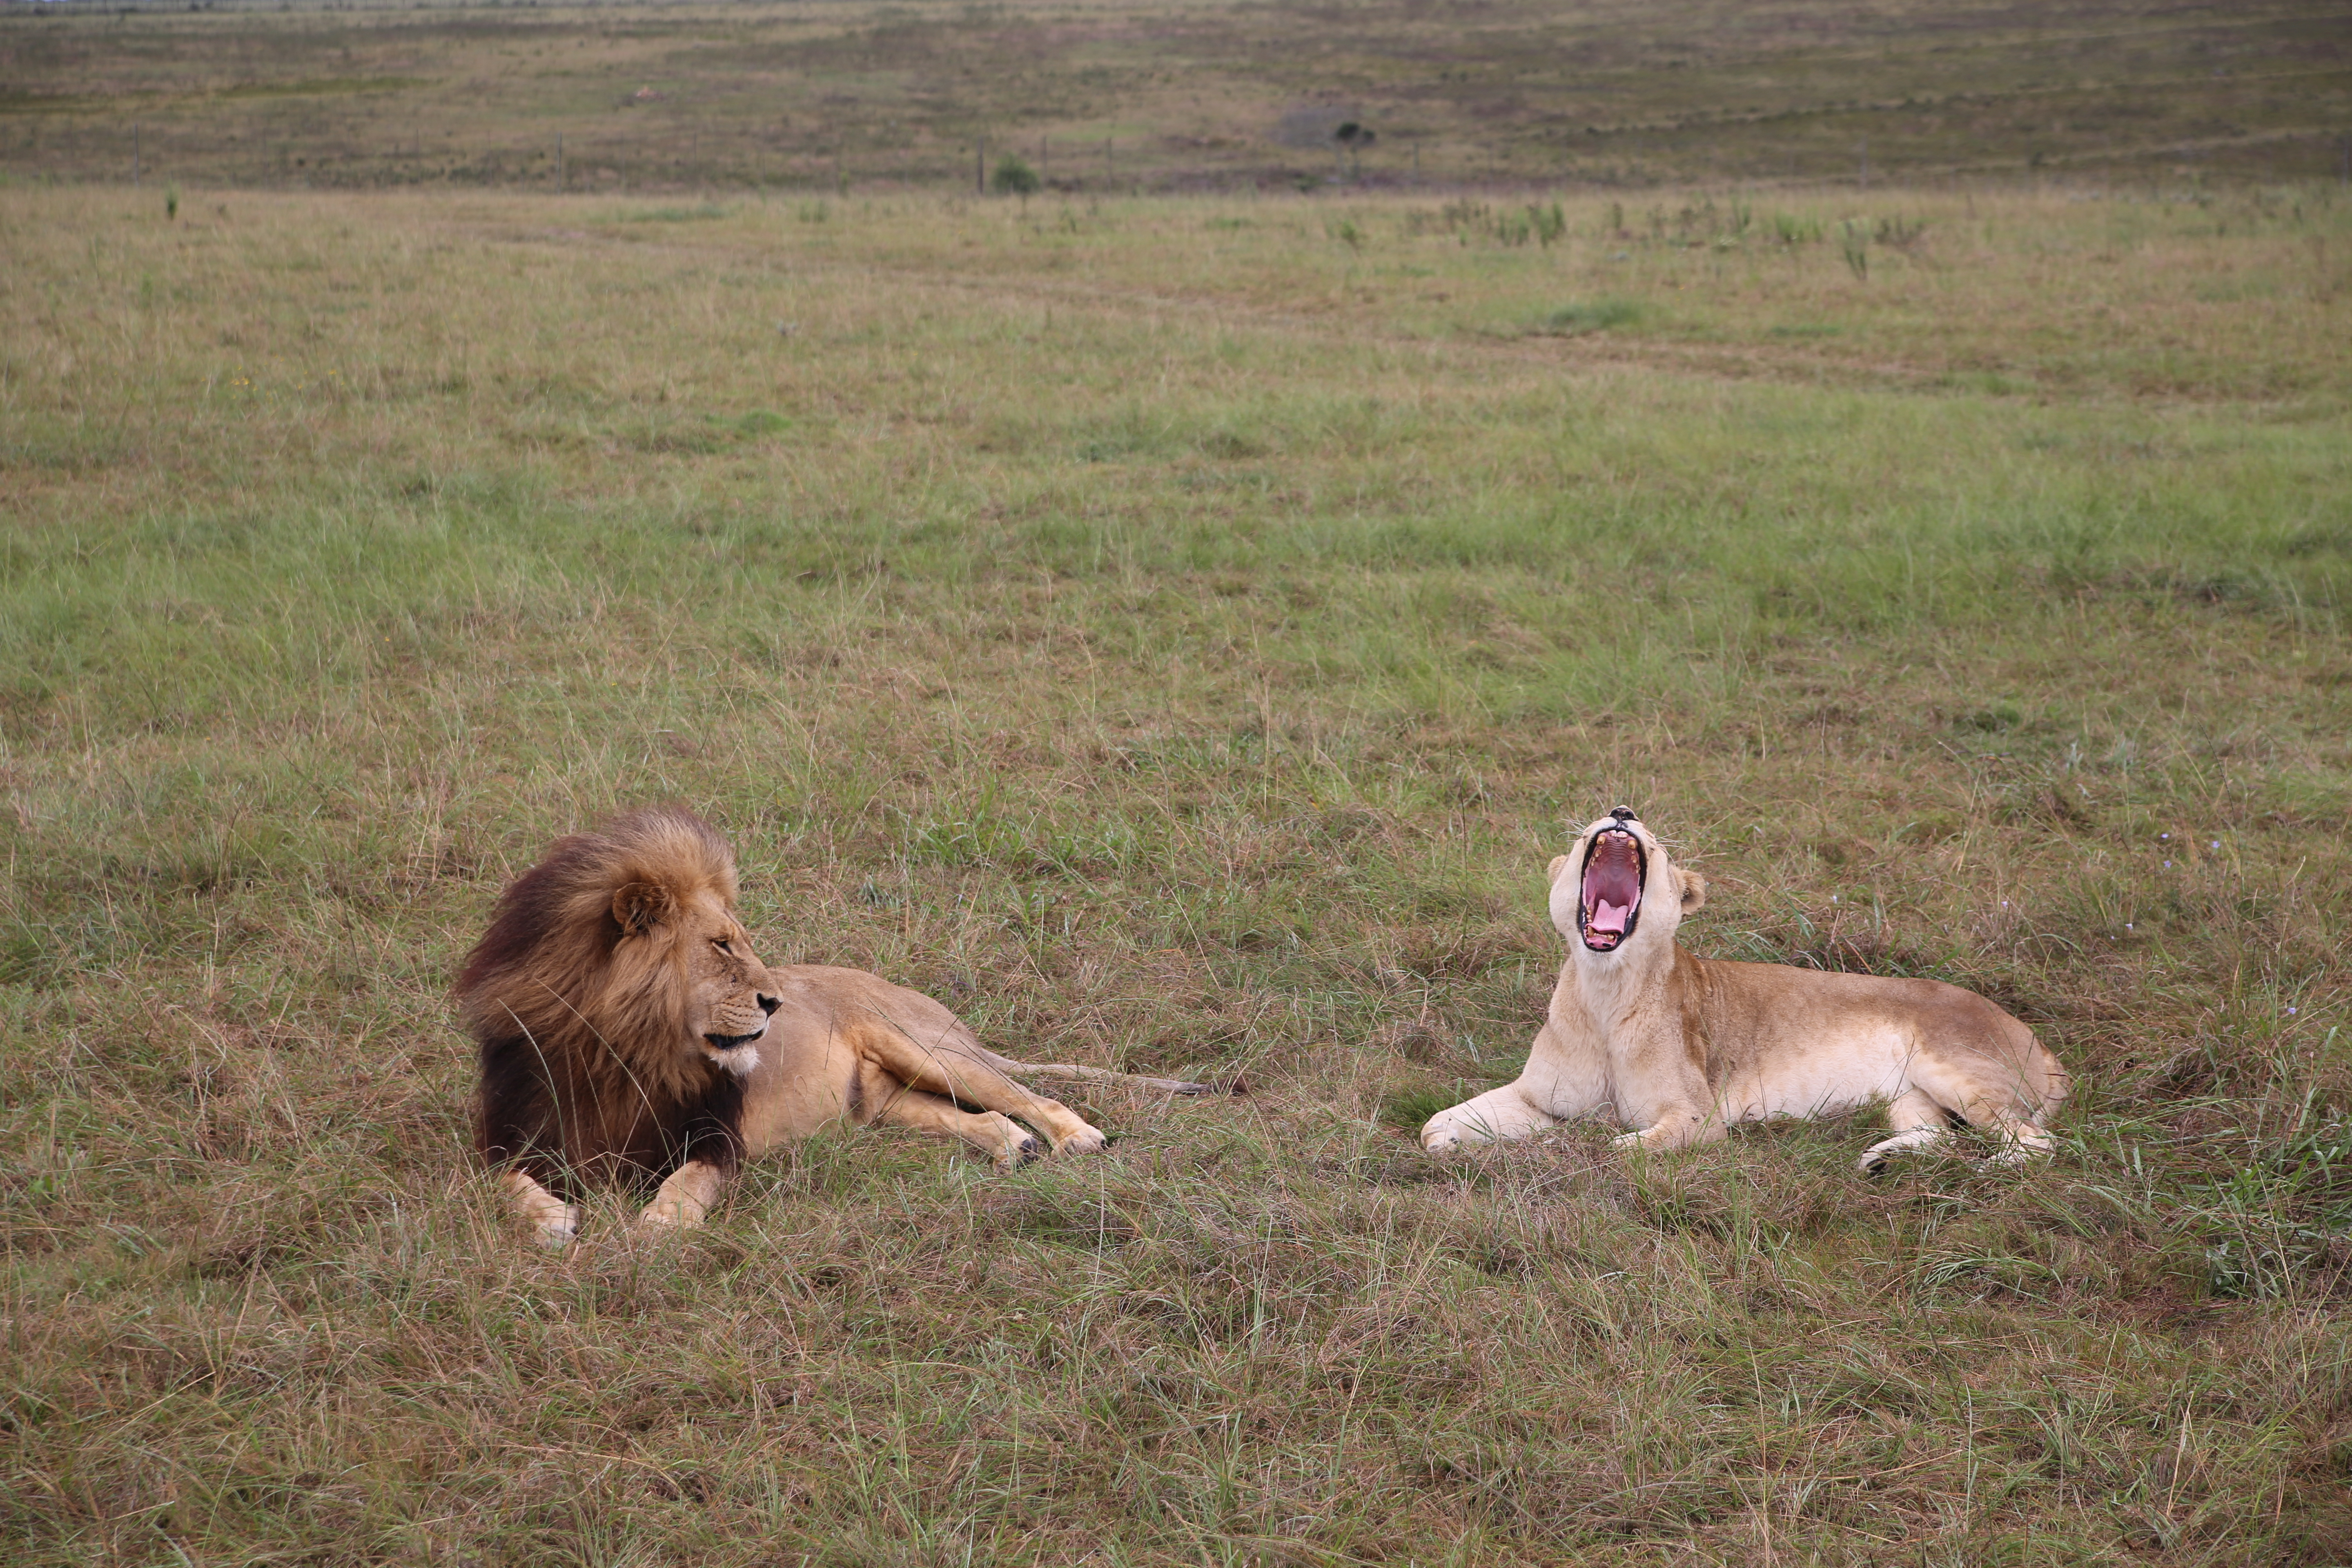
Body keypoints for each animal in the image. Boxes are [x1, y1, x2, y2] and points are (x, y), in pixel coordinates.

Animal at [456, 807, 1212, 1243]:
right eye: (722, 946)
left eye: (741, 941)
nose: (775, 1002)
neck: (619, 1048)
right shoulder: (507, 1138)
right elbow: (502, 1184)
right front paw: (554, 1219)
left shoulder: (718, 1137)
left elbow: (687, 1181)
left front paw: (662, 1223)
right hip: (883, 1100)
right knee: (983, 1117)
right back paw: (1014, 1150)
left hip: (923, 1046)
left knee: (1030, 1095)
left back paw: (1077, 1138)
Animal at [1419, 808, 2069, 1172]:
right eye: (1587, 833)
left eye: (1656, 844)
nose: (1622, 811)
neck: (1605, 987)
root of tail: (2039, 1042)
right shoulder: (1539, 1099)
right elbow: (1436, 1127)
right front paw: (1454, 1139)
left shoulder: (1697, 1118)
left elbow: (1624, 1147)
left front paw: (1592, 1143)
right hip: (1909, 1097)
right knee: (1940, 1137)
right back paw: (1879, 1161)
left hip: (1959, 1072)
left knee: (2037, 1145)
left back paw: (1981, 1173)